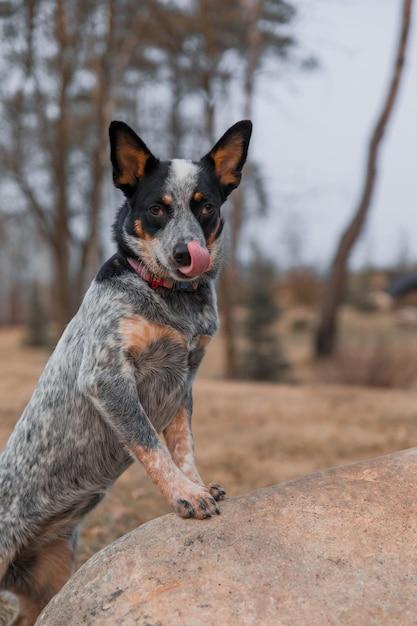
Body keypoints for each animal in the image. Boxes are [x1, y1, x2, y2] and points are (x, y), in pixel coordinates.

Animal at [0, 119, 250, 620]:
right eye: (156, 209)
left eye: (206, 207)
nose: (186, 253)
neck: (171, 300)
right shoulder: (108, 378)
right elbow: (151, 445)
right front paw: (185, 495)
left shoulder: (183, 383)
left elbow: (182, 446)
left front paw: (196, 484)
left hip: (51, 576)